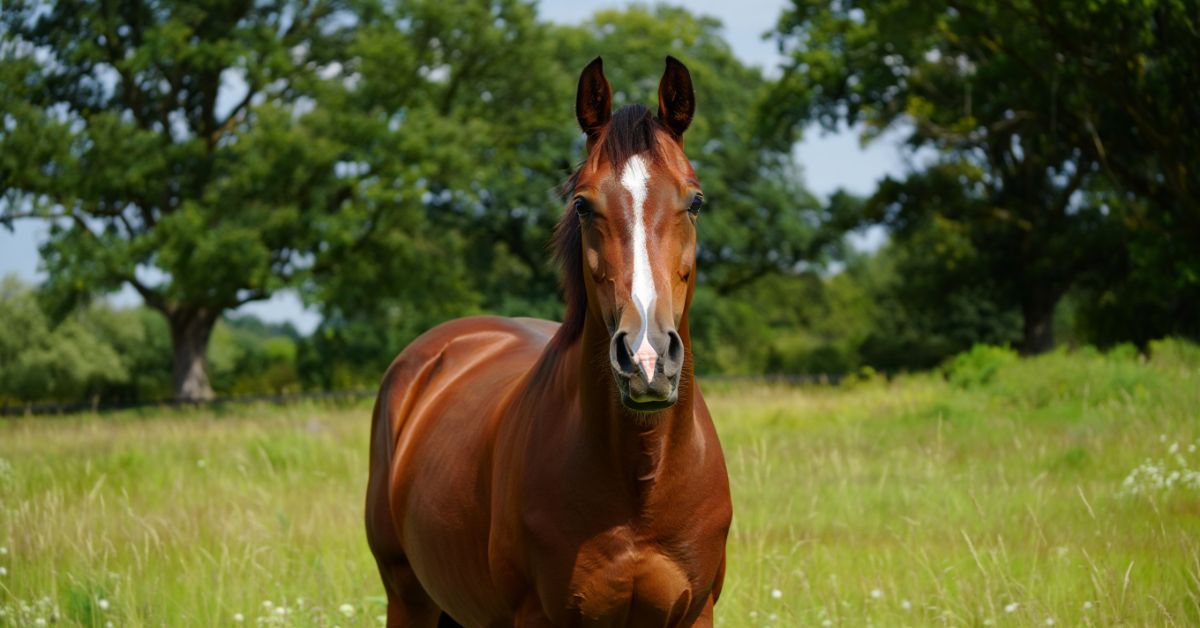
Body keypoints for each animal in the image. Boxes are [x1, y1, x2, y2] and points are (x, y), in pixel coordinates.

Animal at [365, 56, 732, 628]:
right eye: (582, 205)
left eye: (694, 201)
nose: (647, 360)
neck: (641, 483)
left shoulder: (695, 613)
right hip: (407, 597)